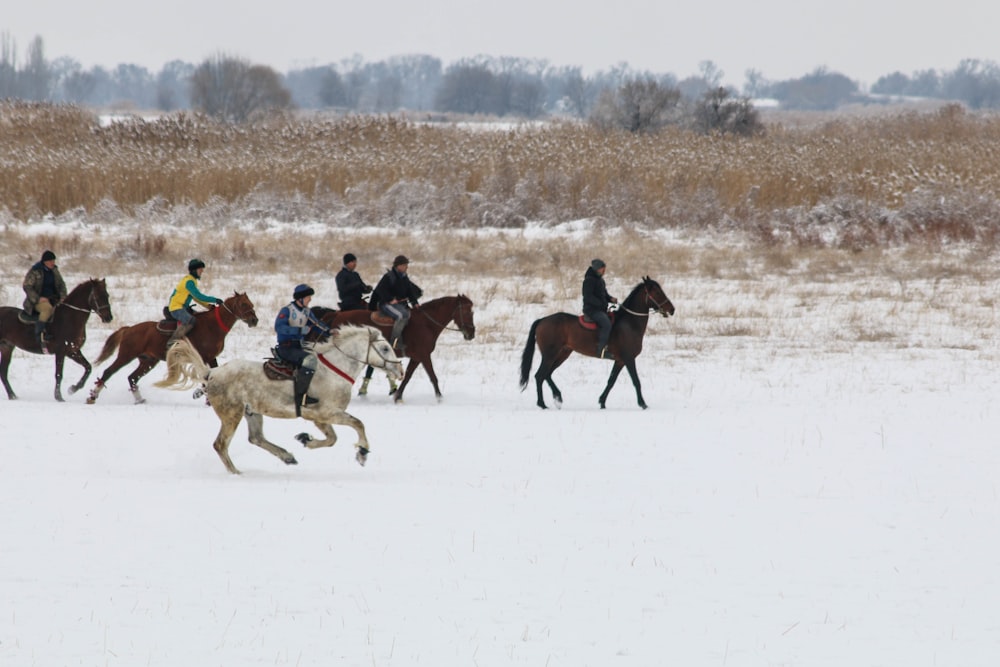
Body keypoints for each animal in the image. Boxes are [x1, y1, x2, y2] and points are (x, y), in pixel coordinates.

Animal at [86, 294, 260, 408]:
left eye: (250, 303)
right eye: (244, 304)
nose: (254, 320)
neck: (212, 326)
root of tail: (128, 329)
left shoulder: (211, 358)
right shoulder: (203, 357)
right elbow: (206, 377)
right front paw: (204, 397)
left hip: (148, 361)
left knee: (132, 377)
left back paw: (139, 400)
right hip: (126, 355)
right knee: (109, 372)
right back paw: (93, 396)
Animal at [155, 324, 402, 474]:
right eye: (384, 348)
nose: (399, 371)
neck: (336, 369)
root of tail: (211, 373)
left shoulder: (319, 417)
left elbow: (332, 439)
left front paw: (306, 439)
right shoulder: (327, 413)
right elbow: (357, 424)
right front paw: (362, 452)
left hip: (252, 412)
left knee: (256, 438)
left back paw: (287, 456)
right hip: (231, 414)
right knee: (221, 444)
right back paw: (237, 473)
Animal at [320, 296, 476, 402]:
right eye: (467, 312)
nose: (471, 334)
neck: (427, 323)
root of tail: (337, 314)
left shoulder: (417, 357)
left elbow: (407, 376)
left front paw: (398, 396)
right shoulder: (424, 355)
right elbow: (433, 376)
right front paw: (439, 398)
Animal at [520, 276, 676, 410]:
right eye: (657, 292)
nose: (672, 309)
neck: (629, 324)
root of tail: (542, 320)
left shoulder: (620, 361)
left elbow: (611, 381)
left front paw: (602, 402)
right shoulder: (629, 359)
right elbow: (636, 381)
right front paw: (643, 404)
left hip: (563, 354)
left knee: (547, 374)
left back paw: (557, 398)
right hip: (550, 355)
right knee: (540, 375)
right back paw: (542, 404)